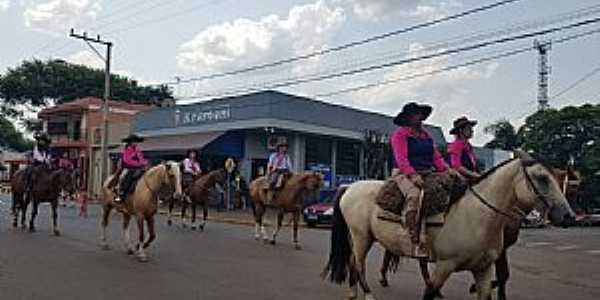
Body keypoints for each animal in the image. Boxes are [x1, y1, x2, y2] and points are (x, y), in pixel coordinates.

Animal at [324, 152, 576, 300]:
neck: (476, 215)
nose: (569, 216)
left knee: (353, 263)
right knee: (357, 264)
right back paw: (366, 294)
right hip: (361, 237)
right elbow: (429, 292)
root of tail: (349, 187)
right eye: (542, 178)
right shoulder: (444, 266)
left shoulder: (484, 268)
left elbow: (495, 283)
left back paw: (353, 293)